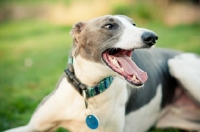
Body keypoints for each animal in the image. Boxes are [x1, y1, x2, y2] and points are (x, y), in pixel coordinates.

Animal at [4, 14, 200, 131]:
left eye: (133, 24)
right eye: (109, 26)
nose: (152, 37)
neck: (88, 89)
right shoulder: (32, 126)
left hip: (177, 64)